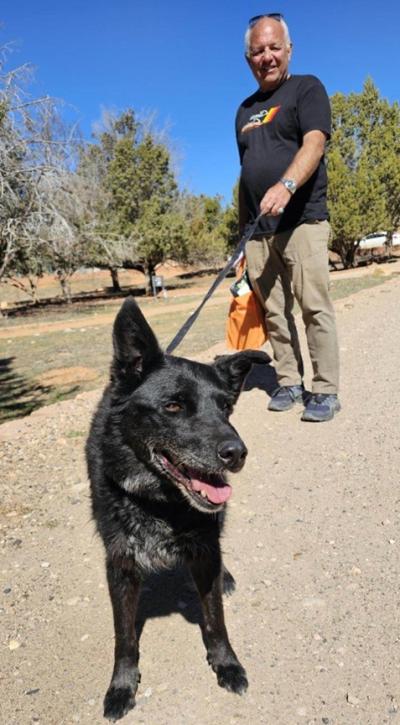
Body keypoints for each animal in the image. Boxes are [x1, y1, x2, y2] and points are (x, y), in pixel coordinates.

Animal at [86, 298, 270, 720]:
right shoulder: (120, 565)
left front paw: (227, 664)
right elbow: (125, 638)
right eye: (172, 406)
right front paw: (121, 686)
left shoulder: (204, 549)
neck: (158, 502)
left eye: (226, 408)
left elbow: (216, 620)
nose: (237, 454)